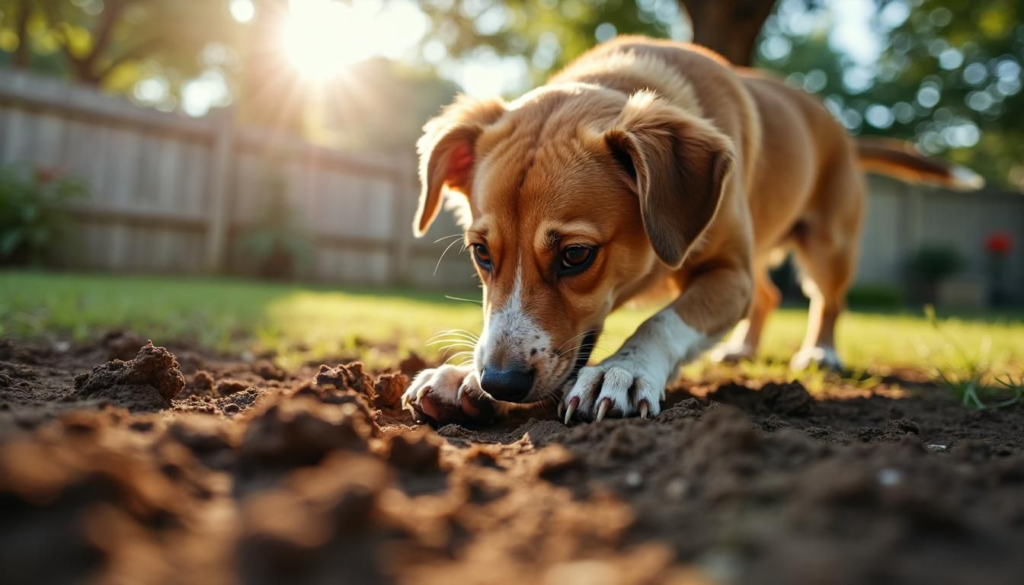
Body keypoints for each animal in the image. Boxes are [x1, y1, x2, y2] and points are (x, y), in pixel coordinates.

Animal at [399, 37, 983, 426]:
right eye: (481, 253)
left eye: (576, 255)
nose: (499, 382)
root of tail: (842, 130)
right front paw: (459, 377)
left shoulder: (727, 273)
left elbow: (662, 321)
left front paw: (623, 370)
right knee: (769, 296)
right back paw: (742, 350)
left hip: (828, 246)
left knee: (826, 301)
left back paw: (821, 354)